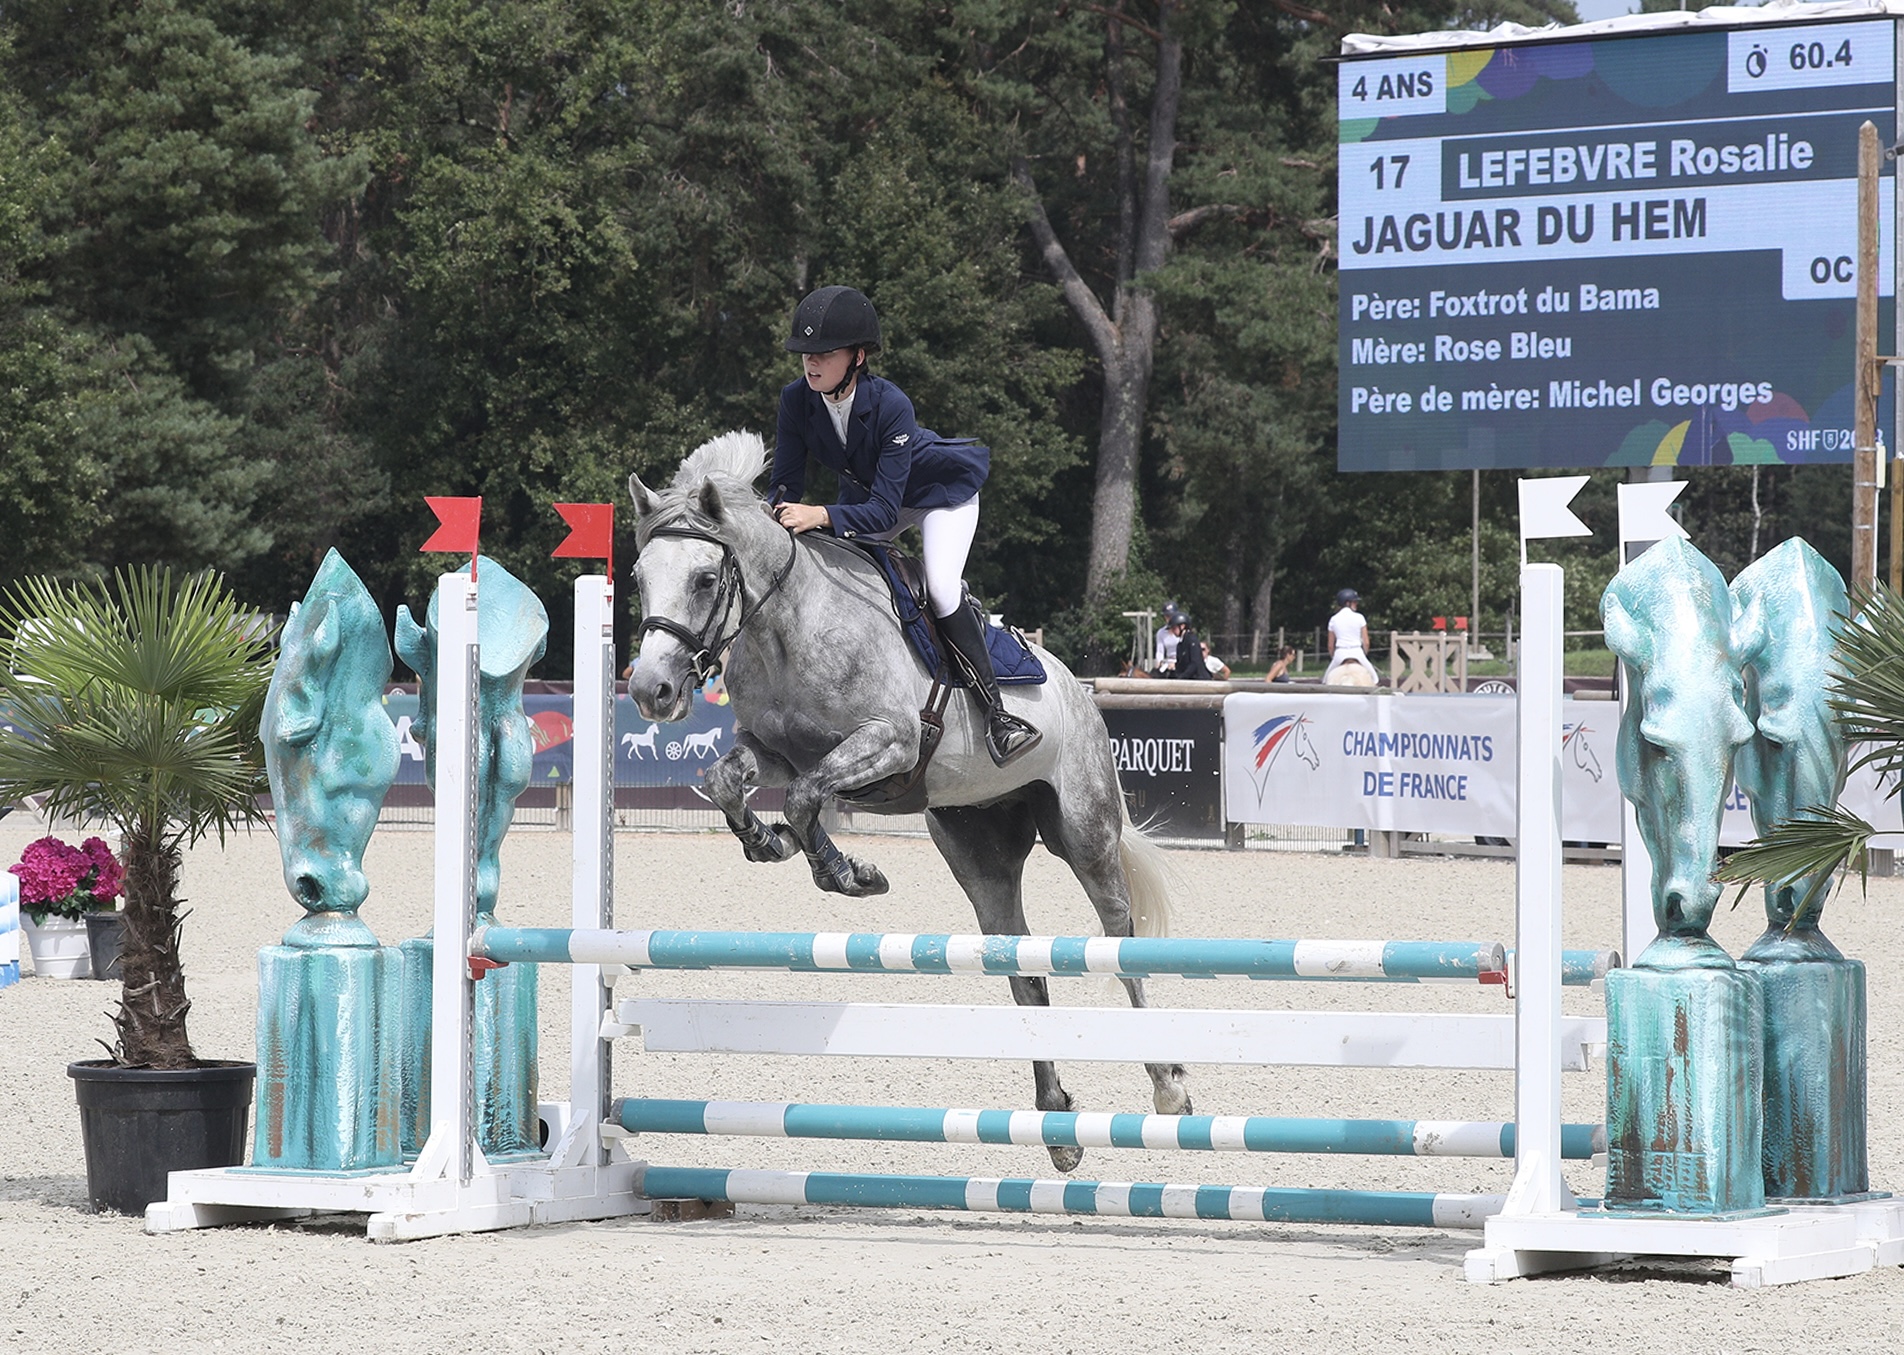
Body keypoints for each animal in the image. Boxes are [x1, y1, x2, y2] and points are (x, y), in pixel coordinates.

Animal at [625, 432, 1190, 1170]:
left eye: (702, 578)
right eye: (639, 576)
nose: (651, 691)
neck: (786, 623)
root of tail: (1079, 688)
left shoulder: (887, 741)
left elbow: (806, 796)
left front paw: (846, 873)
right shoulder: (775, 749)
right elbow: (732, 782)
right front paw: (771, 843)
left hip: (1085, 831)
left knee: (1120, 939)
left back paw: (1168, 1086)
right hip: (977, 846)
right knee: (1019, 963)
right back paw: (1056, 1120)